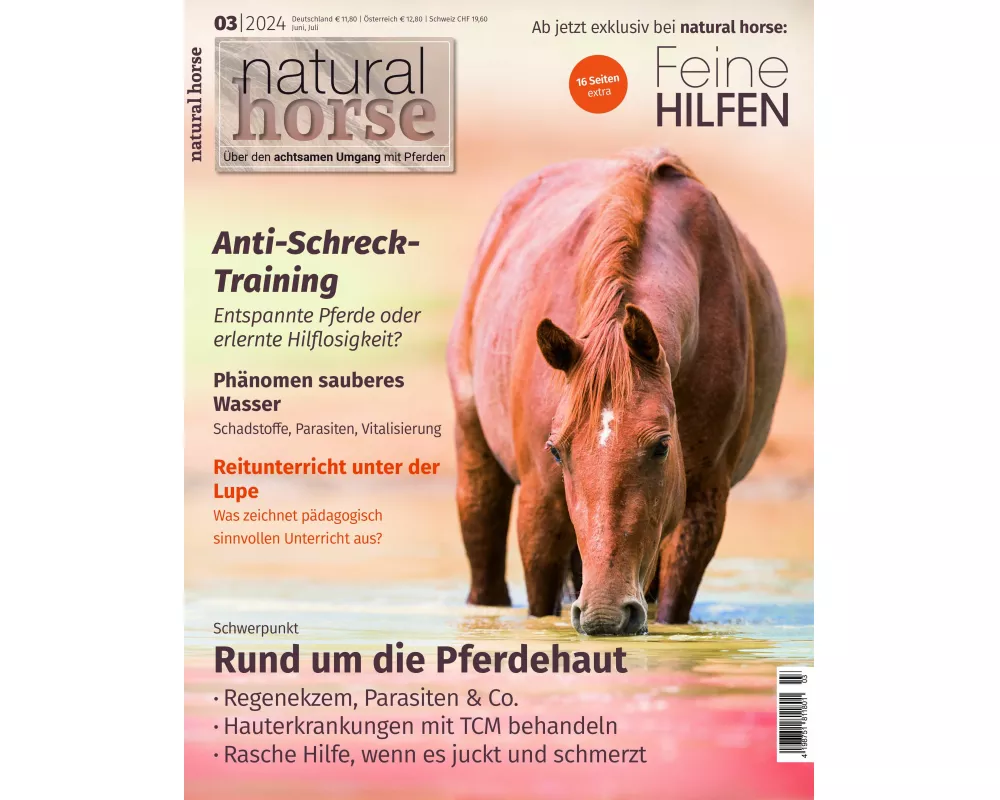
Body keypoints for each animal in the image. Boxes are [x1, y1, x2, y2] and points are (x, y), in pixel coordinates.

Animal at [447, 148, 786, 635]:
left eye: (662, 446)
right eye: (556, 450)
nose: (605, 617)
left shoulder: (702, 506)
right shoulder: (539, 503)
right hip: (476, 462)